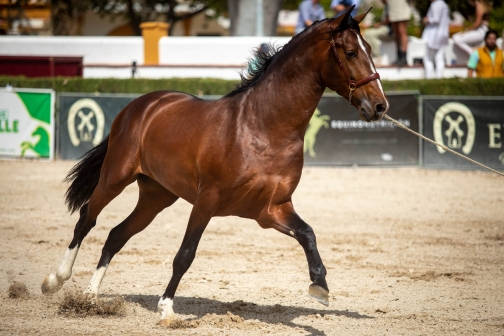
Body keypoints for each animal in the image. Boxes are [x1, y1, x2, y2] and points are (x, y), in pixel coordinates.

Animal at [43, 7, 390, 322]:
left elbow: (308, 234)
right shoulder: (207, 200)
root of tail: (142, 104)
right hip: (116, 177)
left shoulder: (272, 209)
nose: (379, 106)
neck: (262, 127)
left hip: (157, 196)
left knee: (116, 235)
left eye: (371, 51)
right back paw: (55, 281)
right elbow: (185, 254)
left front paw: (320, 287)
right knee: (86, 219)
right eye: (350, 52)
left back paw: (90, 296)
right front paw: (166, 309)